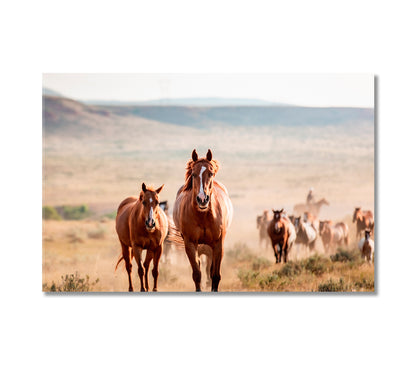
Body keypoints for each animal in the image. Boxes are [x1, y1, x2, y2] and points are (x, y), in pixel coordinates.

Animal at [171, 150, 232, 292]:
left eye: (211, 173)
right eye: (193, 174)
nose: (202, 199)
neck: (203, 216)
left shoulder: (218, 244)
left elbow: (215, 275)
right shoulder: (190, 244)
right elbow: (197, 274)